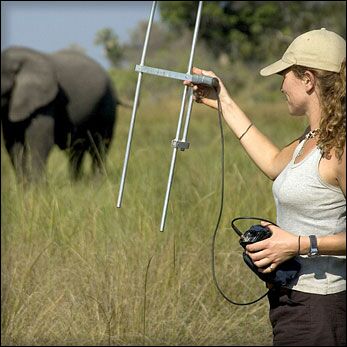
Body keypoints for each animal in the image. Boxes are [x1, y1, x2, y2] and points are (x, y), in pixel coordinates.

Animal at [1, 46, 119, 182]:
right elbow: (13, 144)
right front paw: (24, 186)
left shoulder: (47, 101)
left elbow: (39, 140)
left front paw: (37, 187)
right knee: (77, 150)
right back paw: (76, 183)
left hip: (107, 107)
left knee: (99, 147)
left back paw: (96, 184)